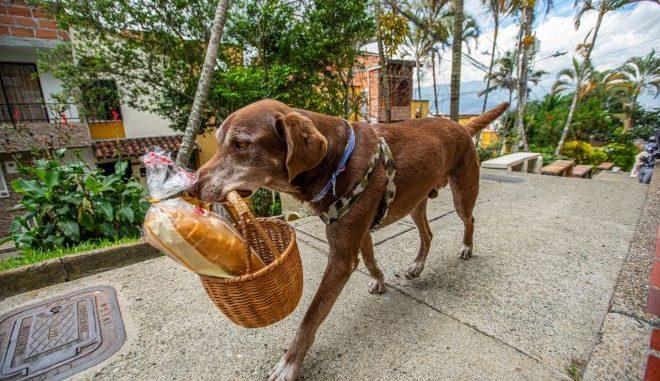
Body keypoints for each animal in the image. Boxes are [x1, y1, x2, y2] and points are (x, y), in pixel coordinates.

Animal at [191, 99, 510, 378]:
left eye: (241, 144)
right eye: (219, 142)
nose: (192, 186)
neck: (334, 162)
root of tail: (460, 125)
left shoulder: (342, 256)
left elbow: (311, 315)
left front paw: (289, 364)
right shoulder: (359, 231)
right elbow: (369, 259)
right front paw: (379, 280)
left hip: (462, 193)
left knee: (469, 220)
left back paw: (466, 247)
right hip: (415, 200)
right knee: (428, 234)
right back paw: (417, 266)